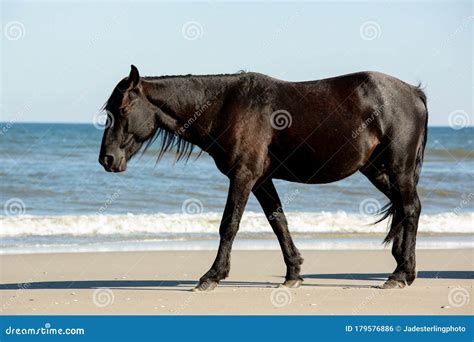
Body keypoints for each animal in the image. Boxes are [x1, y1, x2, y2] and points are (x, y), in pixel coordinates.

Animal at [98, 66, 428, 292]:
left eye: (123, 108)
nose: (107, 159)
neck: (226, 106)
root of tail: (414, 93)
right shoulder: (260, 180)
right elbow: (278, 222)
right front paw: (293, 274)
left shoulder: (243, 176)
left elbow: (229, 225)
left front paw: (212, 276)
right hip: (378, 171)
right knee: (404, 209)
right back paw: (401, 266)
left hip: (397, 169)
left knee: (410, 209)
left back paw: (401, 274)